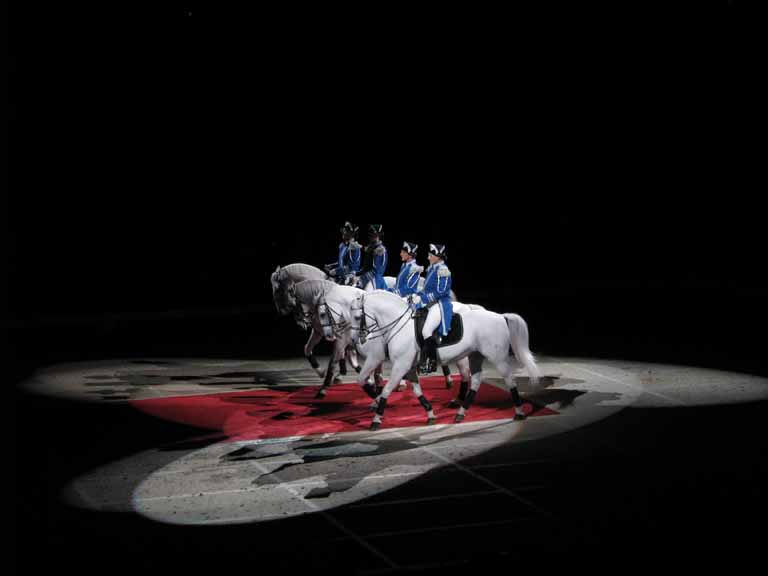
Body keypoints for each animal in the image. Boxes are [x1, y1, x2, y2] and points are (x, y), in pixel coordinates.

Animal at [348, 292, 540, 428]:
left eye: (357, 317)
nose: (356, 339)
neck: (399, 324)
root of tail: (501, 316)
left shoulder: (400, 366)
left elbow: (387, 390)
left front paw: (376, 419)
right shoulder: (408, 367)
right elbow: (417, 391)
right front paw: (430, 414)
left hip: (497, 358)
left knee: (509, 379)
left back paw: (519, 412)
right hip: (475, 355)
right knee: (476, 380)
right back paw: (461, 413)